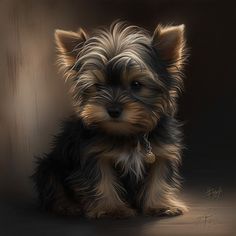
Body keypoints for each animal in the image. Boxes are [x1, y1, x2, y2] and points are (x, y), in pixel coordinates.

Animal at [32, 21, 188, 218]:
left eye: (136, 84)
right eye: (97, 86)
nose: (113, 110)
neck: (127, 132)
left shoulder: (163, 152)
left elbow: (159, 178)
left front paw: (161, 205)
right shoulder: (93, 153)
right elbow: (101, 180)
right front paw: (111, 209)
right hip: (50, 165)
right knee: (53, 183)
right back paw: (67, 206)